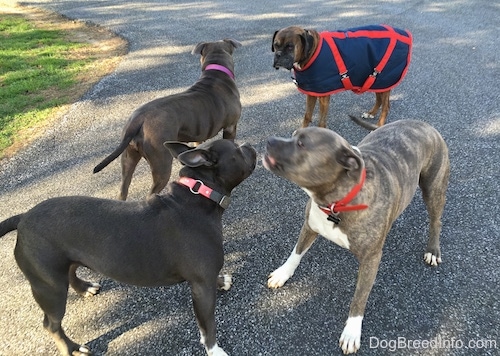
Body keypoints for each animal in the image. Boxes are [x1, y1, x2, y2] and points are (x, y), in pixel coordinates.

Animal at [0, 140, 256, 356]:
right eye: (236, 149)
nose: (249, 145)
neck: (200, 193)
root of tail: (22, 218)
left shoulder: (203, 279)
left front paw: (222, 281)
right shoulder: (201, 287)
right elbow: (208, 325)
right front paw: (215, 350)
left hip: (63, 262)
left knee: (71, 272)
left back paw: (85, 288)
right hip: (49, 287)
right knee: (52, 324)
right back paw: (72, 348)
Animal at [262, 119, 450, 354]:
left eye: (302, 144)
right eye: (294, 134)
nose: (269, 140)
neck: (336, 202)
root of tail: (422, 123)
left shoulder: (371, 260)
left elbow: (359, 297)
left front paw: (352, 331)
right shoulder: (310, 226)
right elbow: (295, 254)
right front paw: (282, 274)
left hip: (433, 188)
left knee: (436, 220)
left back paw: (433, 250)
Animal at [272, 25, 412, 131]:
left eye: (290, 46)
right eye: (276, 45)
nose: (278, 55)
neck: (312, 51)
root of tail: (403, 32)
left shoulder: (323, 96)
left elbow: (321, 120)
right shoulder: (312, 92)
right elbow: (307, 115)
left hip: (384, 78)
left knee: (386, 106)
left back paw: (378, 126)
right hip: (375, 79)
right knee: (380, 99)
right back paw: (371, 113)